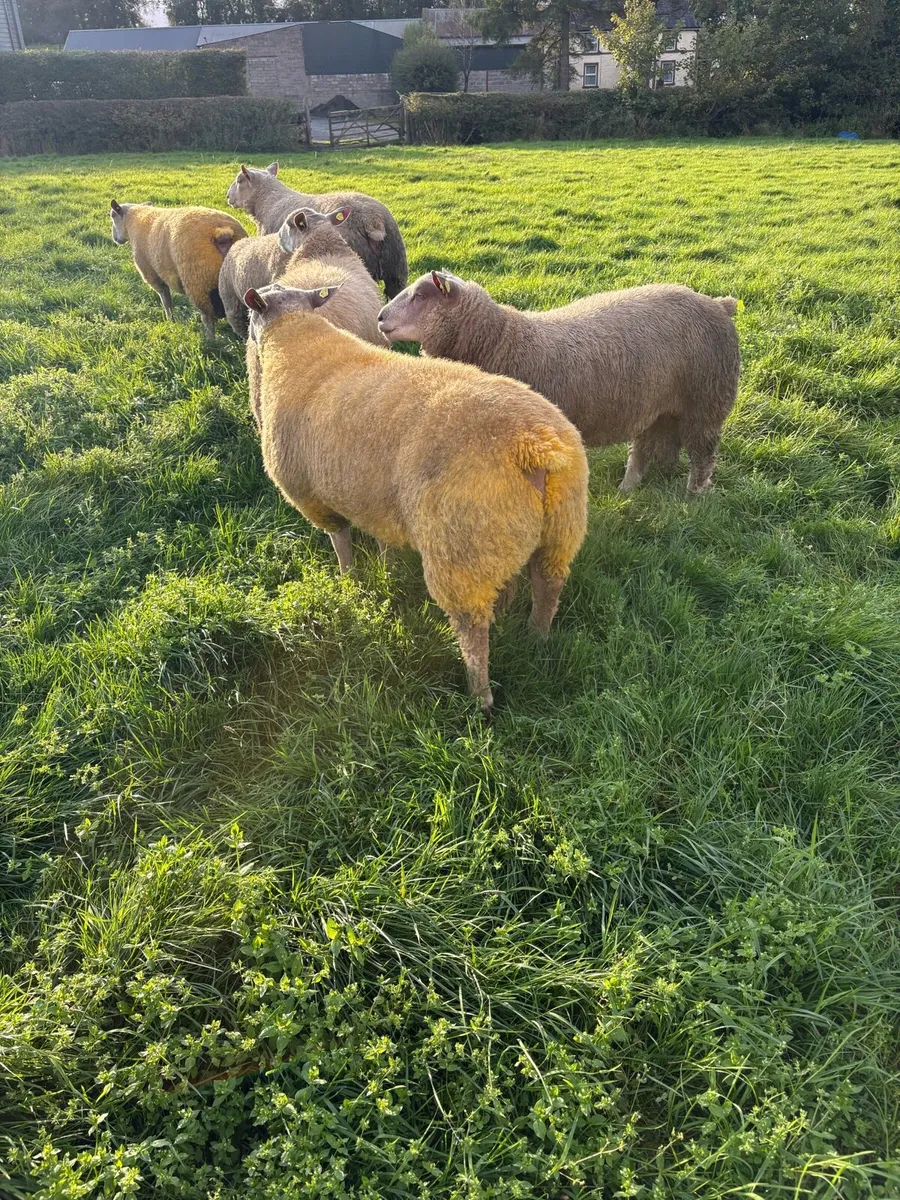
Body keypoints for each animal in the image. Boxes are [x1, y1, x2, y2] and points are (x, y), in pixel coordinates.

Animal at [109, 201, 247, 340]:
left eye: (113, 216)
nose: (115, 239)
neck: (133, 221)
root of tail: (222, 233)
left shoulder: (153, 275)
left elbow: (166, 301)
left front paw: (170, 321)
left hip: (199, 284)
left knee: (209, 317)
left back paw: (210, 341)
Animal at [243, 281, 589, 715]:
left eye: (251, 316)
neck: (294, 340)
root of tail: (536, 446)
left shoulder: (311, 496)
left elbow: (340, 540)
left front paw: (348, 579)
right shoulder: (373, 500)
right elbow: (383, 544)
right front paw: (386, 573)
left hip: (461, 547)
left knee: (472, 629)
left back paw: (480, 696)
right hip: (552, 530)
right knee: (546, 586)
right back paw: (534, 638)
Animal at [378, 273, 741, 495]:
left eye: (420, 295)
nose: (380, 317)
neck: (504, 342)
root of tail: (717, 303)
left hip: (707, 403)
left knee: (702, 455)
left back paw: (693, 494)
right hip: (661, 408)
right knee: (647, 448)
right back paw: (628, 488)